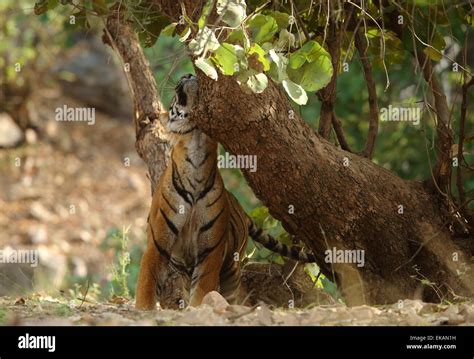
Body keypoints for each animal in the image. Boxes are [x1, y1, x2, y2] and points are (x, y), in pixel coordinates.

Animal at [135, 74, 316, 310]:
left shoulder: (210, 251)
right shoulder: (157, 244)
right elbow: (147, 282)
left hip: (231, 268)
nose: (188, 74)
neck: (197, 148)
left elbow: (202, 290)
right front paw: (144, 309)